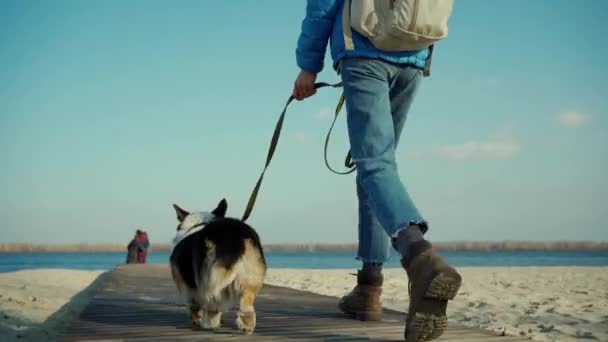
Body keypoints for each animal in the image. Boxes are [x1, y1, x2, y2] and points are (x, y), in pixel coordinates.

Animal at [171, 199, 266, 336]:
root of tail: (234, 238)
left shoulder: (187, 287)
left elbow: (193, 305)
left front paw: (196, 319)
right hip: (250, 278)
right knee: (247, 307)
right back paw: (246, 326)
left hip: (210, 280)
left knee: (212, 306)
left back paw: (207, 324)